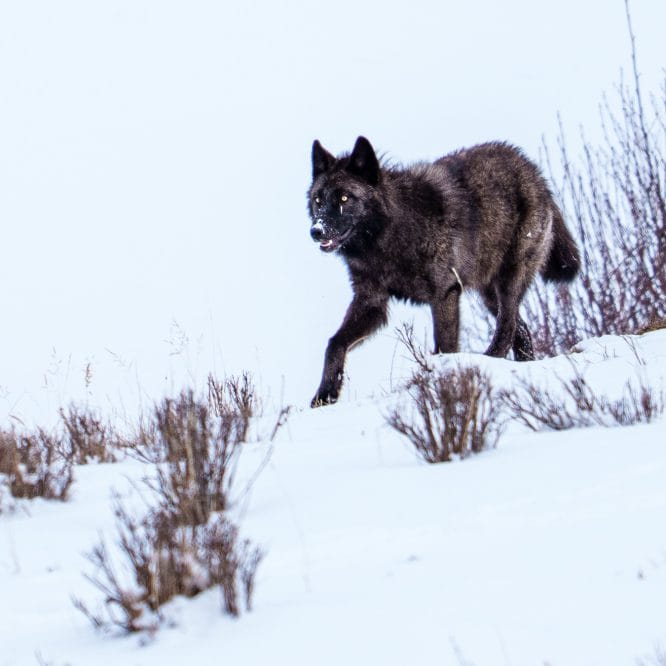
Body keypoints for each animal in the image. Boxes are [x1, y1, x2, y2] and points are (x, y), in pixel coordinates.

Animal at [307, 136, 580, 407]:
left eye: (344, 198)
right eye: (318, 200)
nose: (316, 231)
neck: (388, 235)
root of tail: (532, 169)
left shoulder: (445, 294)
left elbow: (445, 346)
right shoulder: (371, 301)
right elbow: (335, 343)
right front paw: (325, 395)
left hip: (508, 282)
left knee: (507, 325)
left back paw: (490, 360)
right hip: (489, 294)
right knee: (521, 329)